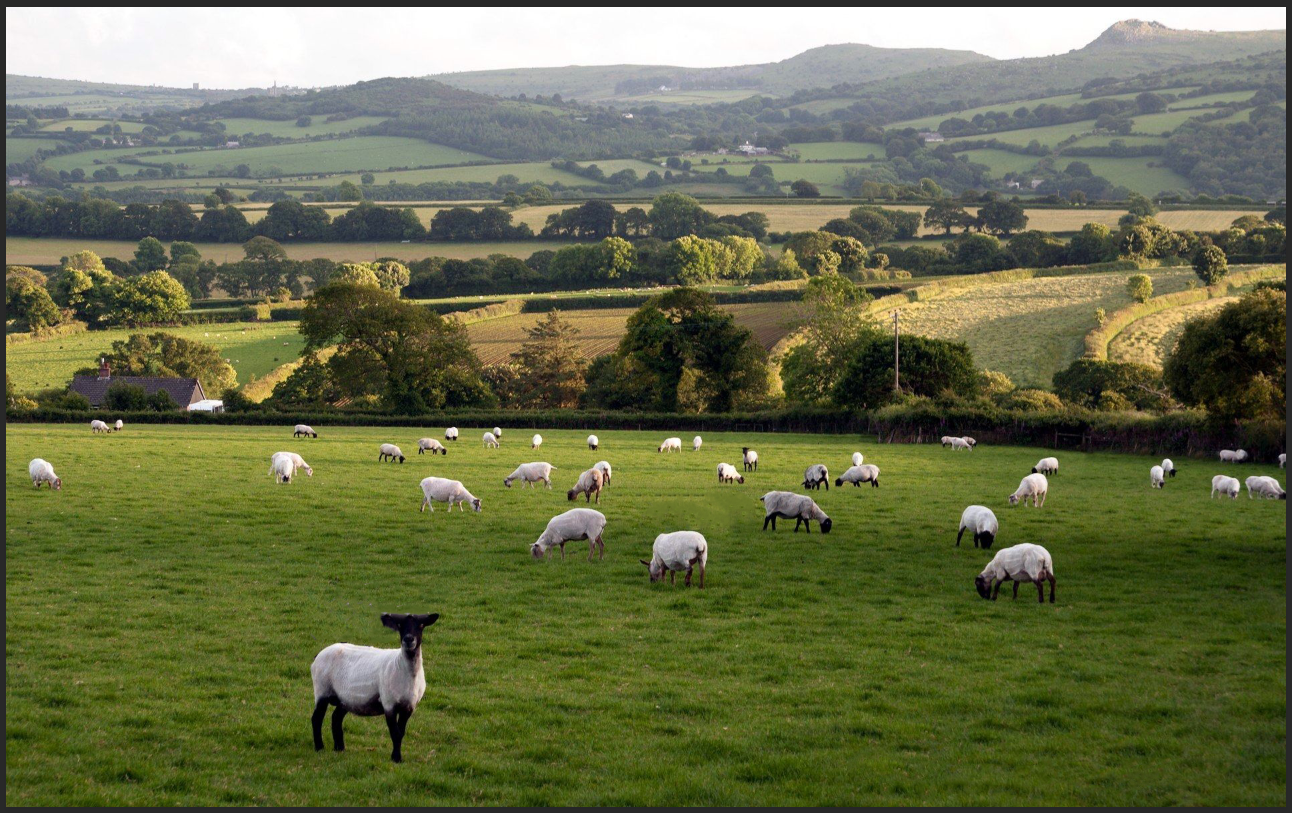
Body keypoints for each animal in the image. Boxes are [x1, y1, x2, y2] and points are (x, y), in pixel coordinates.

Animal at [310, 612, 439, 763]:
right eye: (400, 625)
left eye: (421, 625)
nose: (408, 639)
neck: (403, 667)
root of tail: (318, 655)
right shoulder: (389, 703)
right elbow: (395, 733)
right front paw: (396, 758)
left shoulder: (409, 706)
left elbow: (401, 732)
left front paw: (397, 757)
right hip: (322, 689)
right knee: (317, 718)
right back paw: (319, 747)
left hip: (345, 698)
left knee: (336, 718)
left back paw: (339, 748)